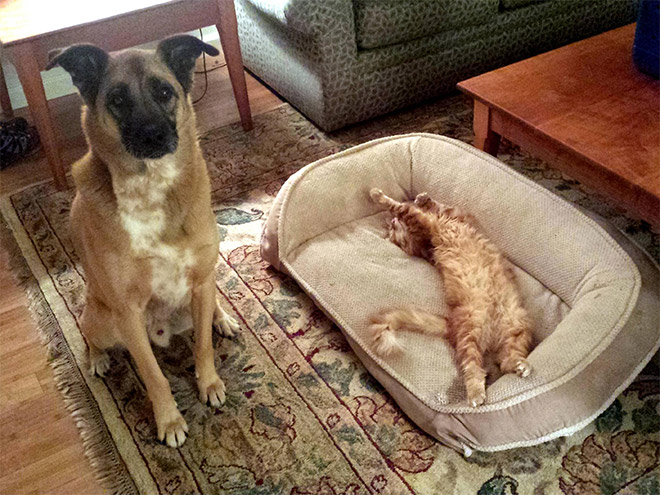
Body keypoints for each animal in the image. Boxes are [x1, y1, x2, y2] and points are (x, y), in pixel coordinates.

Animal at [47, 33, 241, 448]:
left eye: (164, 91)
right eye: (117, 99)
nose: (153, 135)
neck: (151, 184)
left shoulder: (201, 283)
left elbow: (202, 347)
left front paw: (209, 384)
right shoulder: (128, 315)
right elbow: (153, 376)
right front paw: (169, 421)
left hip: (202, 292)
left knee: (210, 309)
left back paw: (223, 319)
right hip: (103, 320)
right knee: (89, 336)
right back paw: (97, 359)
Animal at [368, 189, 532, 406]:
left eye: (391, 230)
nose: (391, 222)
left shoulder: (454, 216)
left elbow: (436, 206)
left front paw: (422, 198)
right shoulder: (419, 222)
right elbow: (397, 205)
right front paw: (378, 195)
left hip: (517, 327)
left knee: (505, 361)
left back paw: (521, 366)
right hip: (471, 333)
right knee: (476, 368)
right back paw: (476, 395)